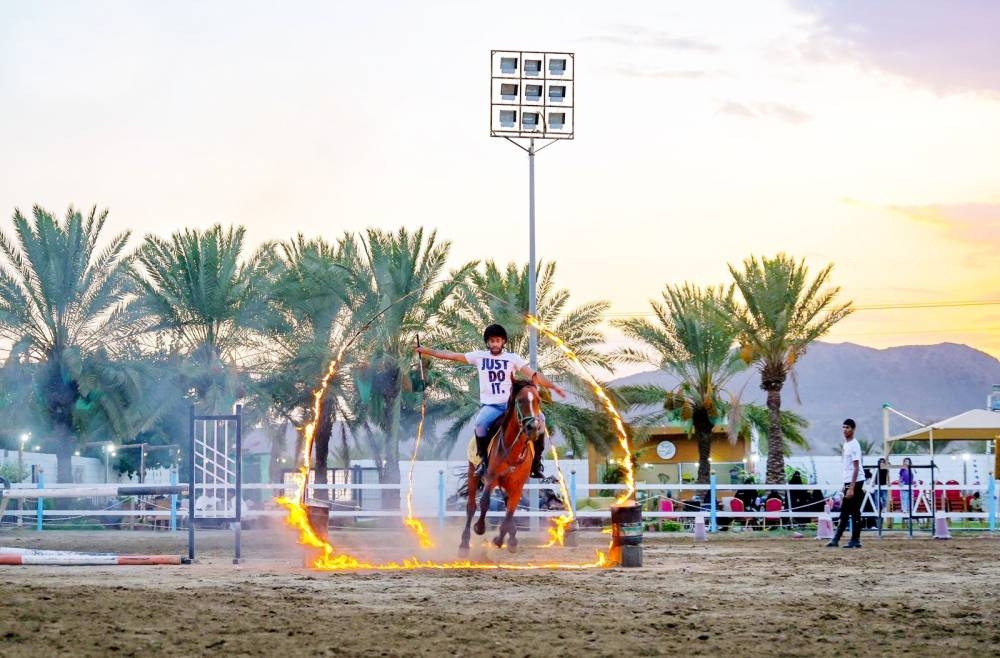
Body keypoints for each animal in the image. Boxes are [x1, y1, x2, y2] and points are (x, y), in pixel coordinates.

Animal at [459, 379, 543, 555]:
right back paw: (464, 543)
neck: (513, 450)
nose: (533, 427)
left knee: (506, 507)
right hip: (473, 474)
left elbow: (510, 512)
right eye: (520, 400)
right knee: (471, 507)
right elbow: (485, 502)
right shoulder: (491, 479)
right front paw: (480, 527)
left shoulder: (517, 486)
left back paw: (512, 538)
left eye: (538, 400)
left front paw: (501, 540)